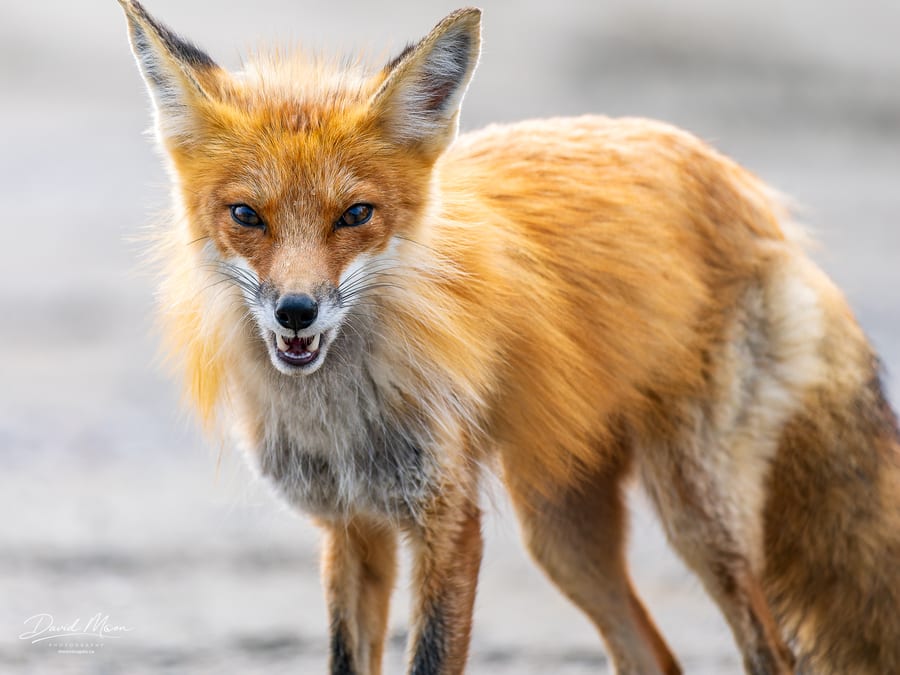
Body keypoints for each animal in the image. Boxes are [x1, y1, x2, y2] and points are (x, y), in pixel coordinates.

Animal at [117, 2, 900, 674]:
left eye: (356, 214)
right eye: (247, 215)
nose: (296, 311)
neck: (344, 418)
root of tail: (747, 190)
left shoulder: (449, 522)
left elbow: (431, 655)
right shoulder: (351, 529)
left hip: (696, 517)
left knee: (772, 651)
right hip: (560, 530)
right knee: (655, 656)